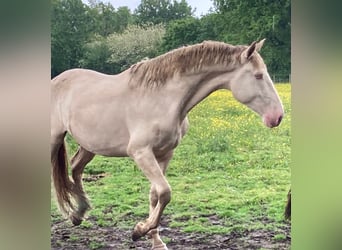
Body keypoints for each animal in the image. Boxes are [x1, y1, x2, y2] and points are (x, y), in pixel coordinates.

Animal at [50, 38, 284, 248]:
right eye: (258, 75)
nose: (278, 117)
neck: (163, 98)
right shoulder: (141, 152)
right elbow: (165, 192)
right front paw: (139, 231)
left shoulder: (164, 153)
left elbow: (156, 195)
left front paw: (155, 240)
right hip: (54, 140)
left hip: (89, 145)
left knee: (76, 167)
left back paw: (78, 213)